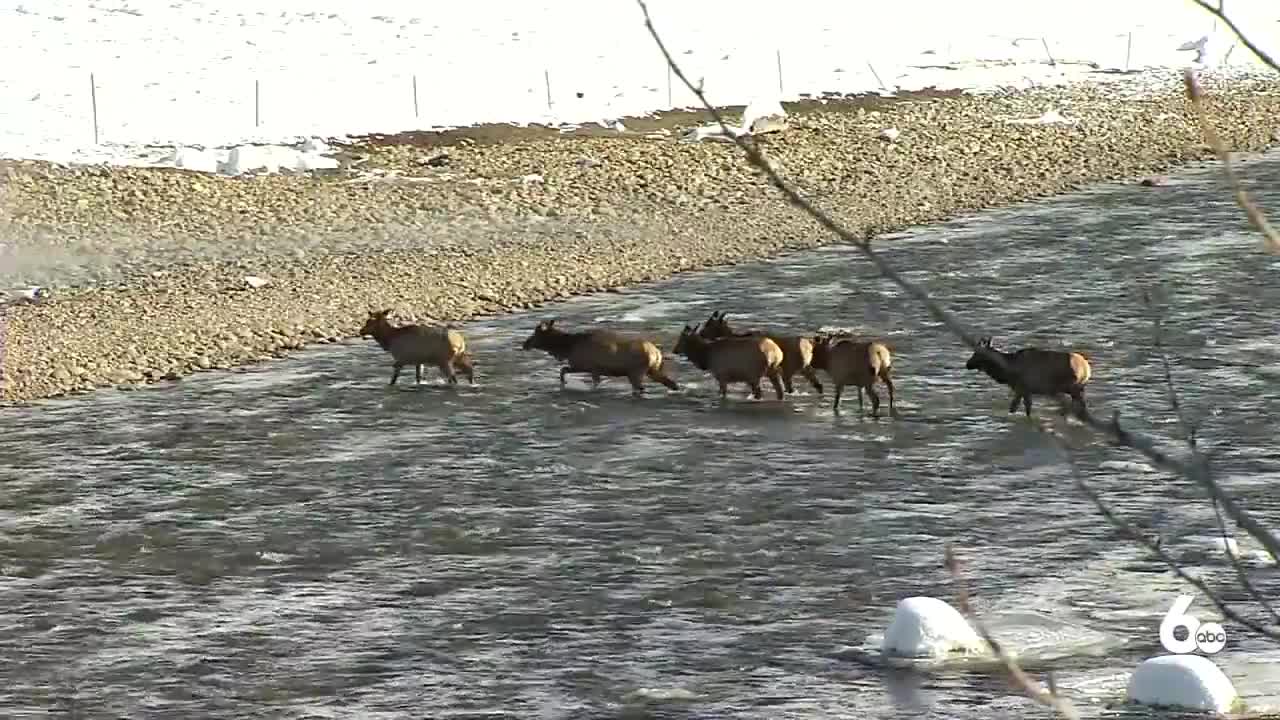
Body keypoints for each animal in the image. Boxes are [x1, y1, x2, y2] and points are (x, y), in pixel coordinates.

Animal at [696, 310, 824, 392]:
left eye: (709, 324)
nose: (701, 334)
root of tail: (810, 345)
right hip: (805, 368)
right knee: (818, 385)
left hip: (790, 369)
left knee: (790, 387)